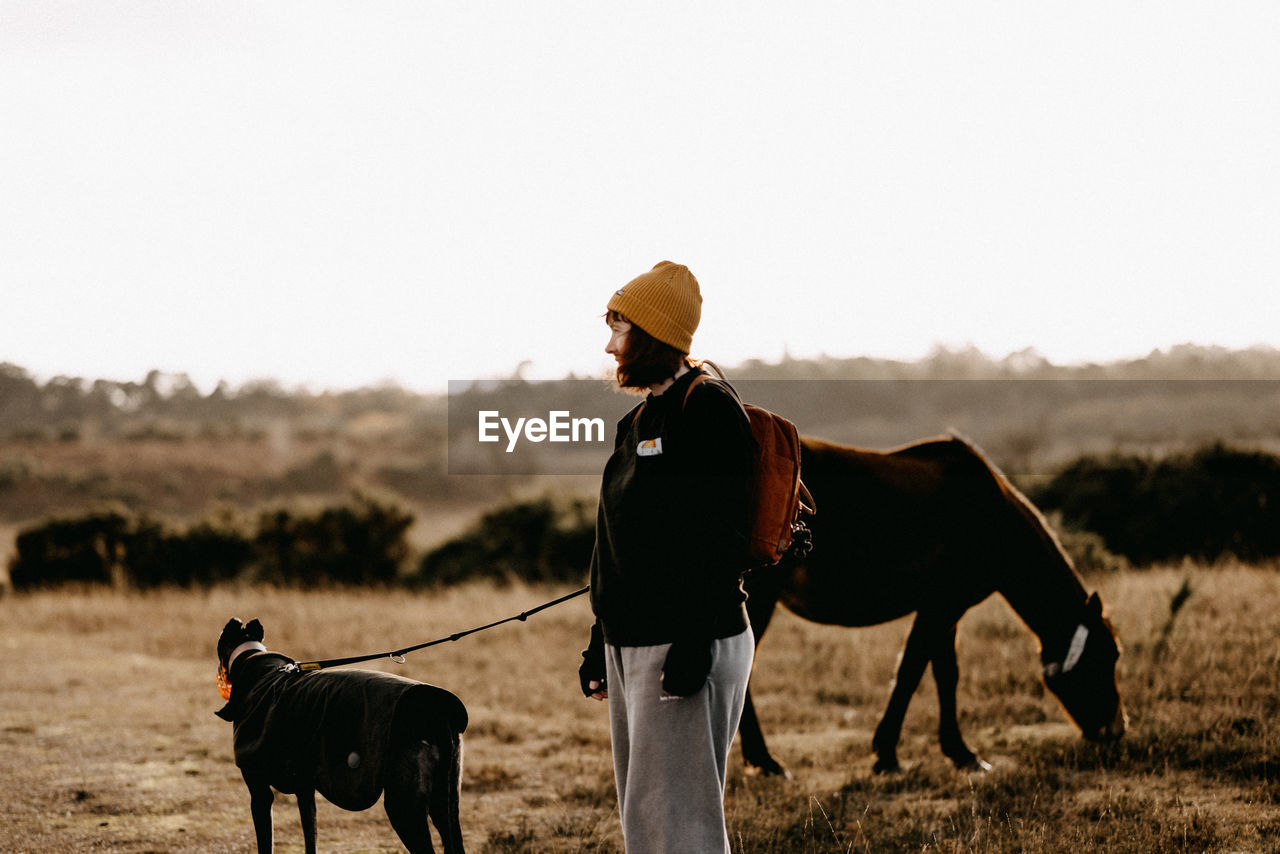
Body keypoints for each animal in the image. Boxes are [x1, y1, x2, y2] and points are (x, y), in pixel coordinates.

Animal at [217, 617, 468, 850]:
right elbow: (310, 838)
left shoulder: (259, 790)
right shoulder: (305, 791)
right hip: (445, 803)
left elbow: (265, 842)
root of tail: (438, 711)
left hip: (404, 806)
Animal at [742, 435, 1131, 773]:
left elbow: (945, 675)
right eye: (1107, 656)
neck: (994, 518)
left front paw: (959, 752)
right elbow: (911, 672)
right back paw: (765, 760)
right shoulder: (940, 607)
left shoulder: (947, 612)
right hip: (759, 598)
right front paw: (887, 755)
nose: (1118, 728)